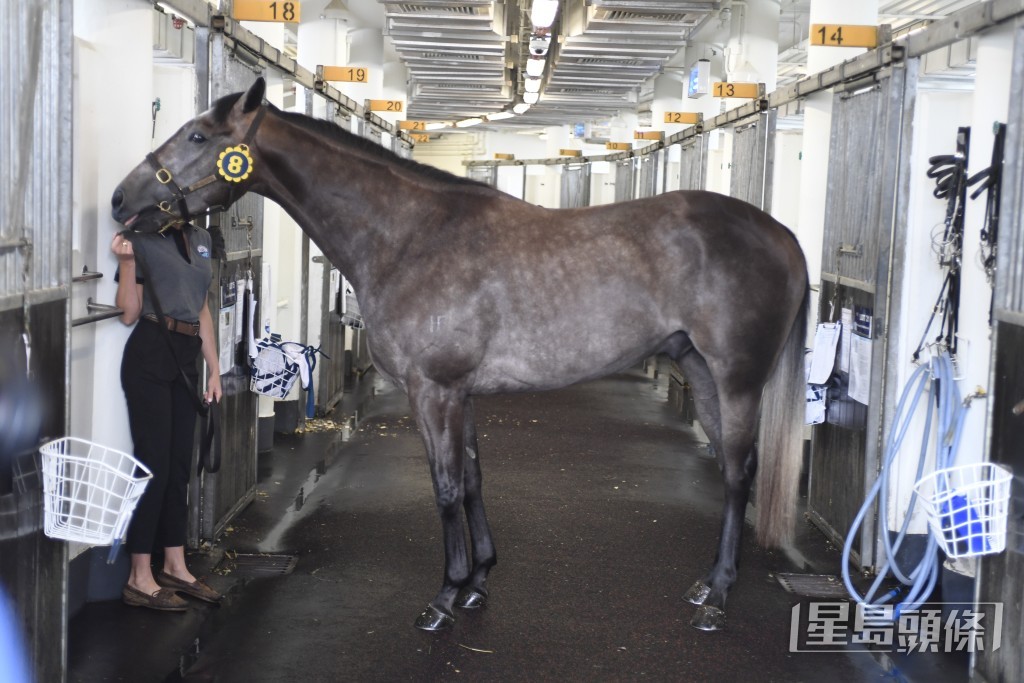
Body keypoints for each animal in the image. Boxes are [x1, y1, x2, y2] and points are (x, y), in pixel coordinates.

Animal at [112, 77, 809, 632]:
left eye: (198, 136)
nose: (120, 200)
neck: (411, 237)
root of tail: (783, 235)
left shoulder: (435, 390)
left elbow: (445, 486)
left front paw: (445, 598)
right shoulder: (461, 394)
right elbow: (472, 479)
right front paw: (477, 583)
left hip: (737, 379)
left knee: (739, 473)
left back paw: (717, 598)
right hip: (699, 370)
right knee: (732, 471)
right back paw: (705, 585)